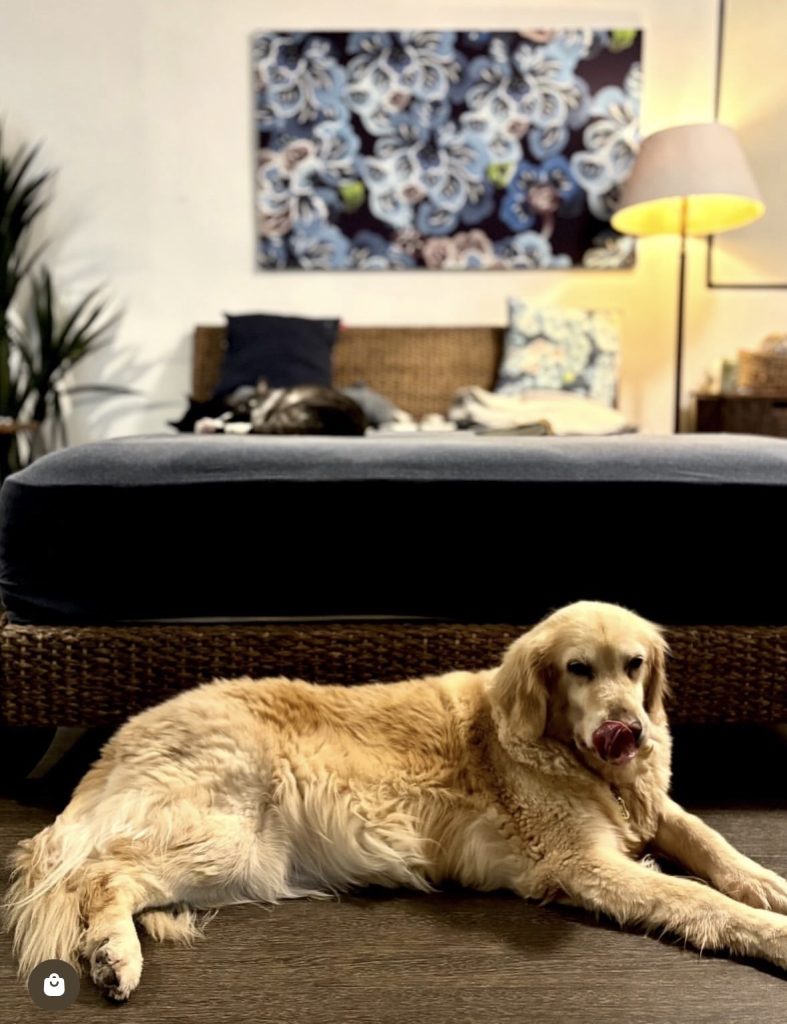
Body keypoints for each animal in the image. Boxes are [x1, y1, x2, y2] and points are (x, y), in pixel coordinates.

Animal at [6, 600, 787, 1000]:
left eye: (634, 664)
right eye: (577, 669)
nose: (627, 731)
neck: (578, 760)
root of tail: (121, 738)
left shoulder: (653, 807)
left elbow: (712, 843)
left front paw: (768, 884)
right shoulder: (585, 863)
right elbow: (698, 900)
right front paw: (772, 933)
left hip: (242, 862)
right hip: (226, 835)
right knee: (100, 871)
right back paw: (115, 956)